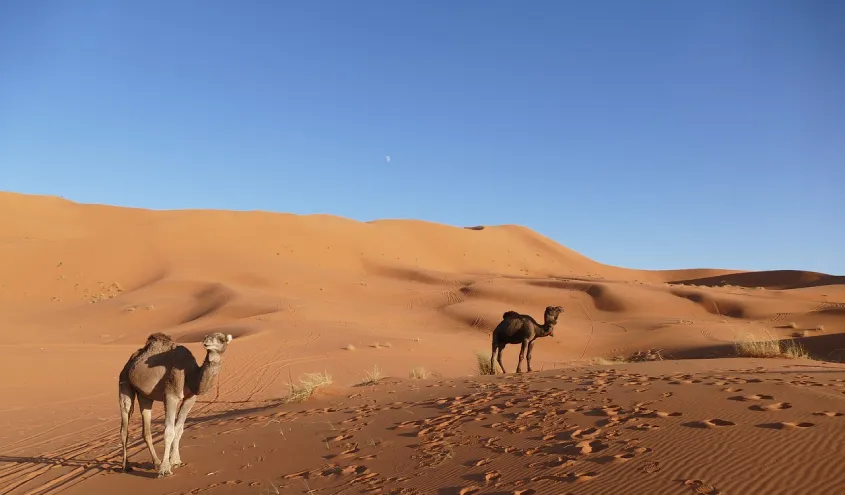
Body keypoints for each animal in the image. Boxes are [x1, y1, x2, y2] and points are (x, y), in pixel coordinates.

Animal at [118, 331, 233, 477]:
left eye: (222, 339)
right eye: (208, 337)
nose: (206, 342)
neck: (190, 375)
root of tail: (129, 362)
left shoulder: (190, 398)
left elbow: (179, 429)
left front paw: (176, 461)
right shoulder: (170, 395)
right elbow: (169, 431)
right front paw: (165, 469)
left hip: (145, 396)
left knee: (146, 430)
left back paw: (156, 462)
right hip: (124, 382)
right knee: (124, 425)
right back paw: (126, 466)